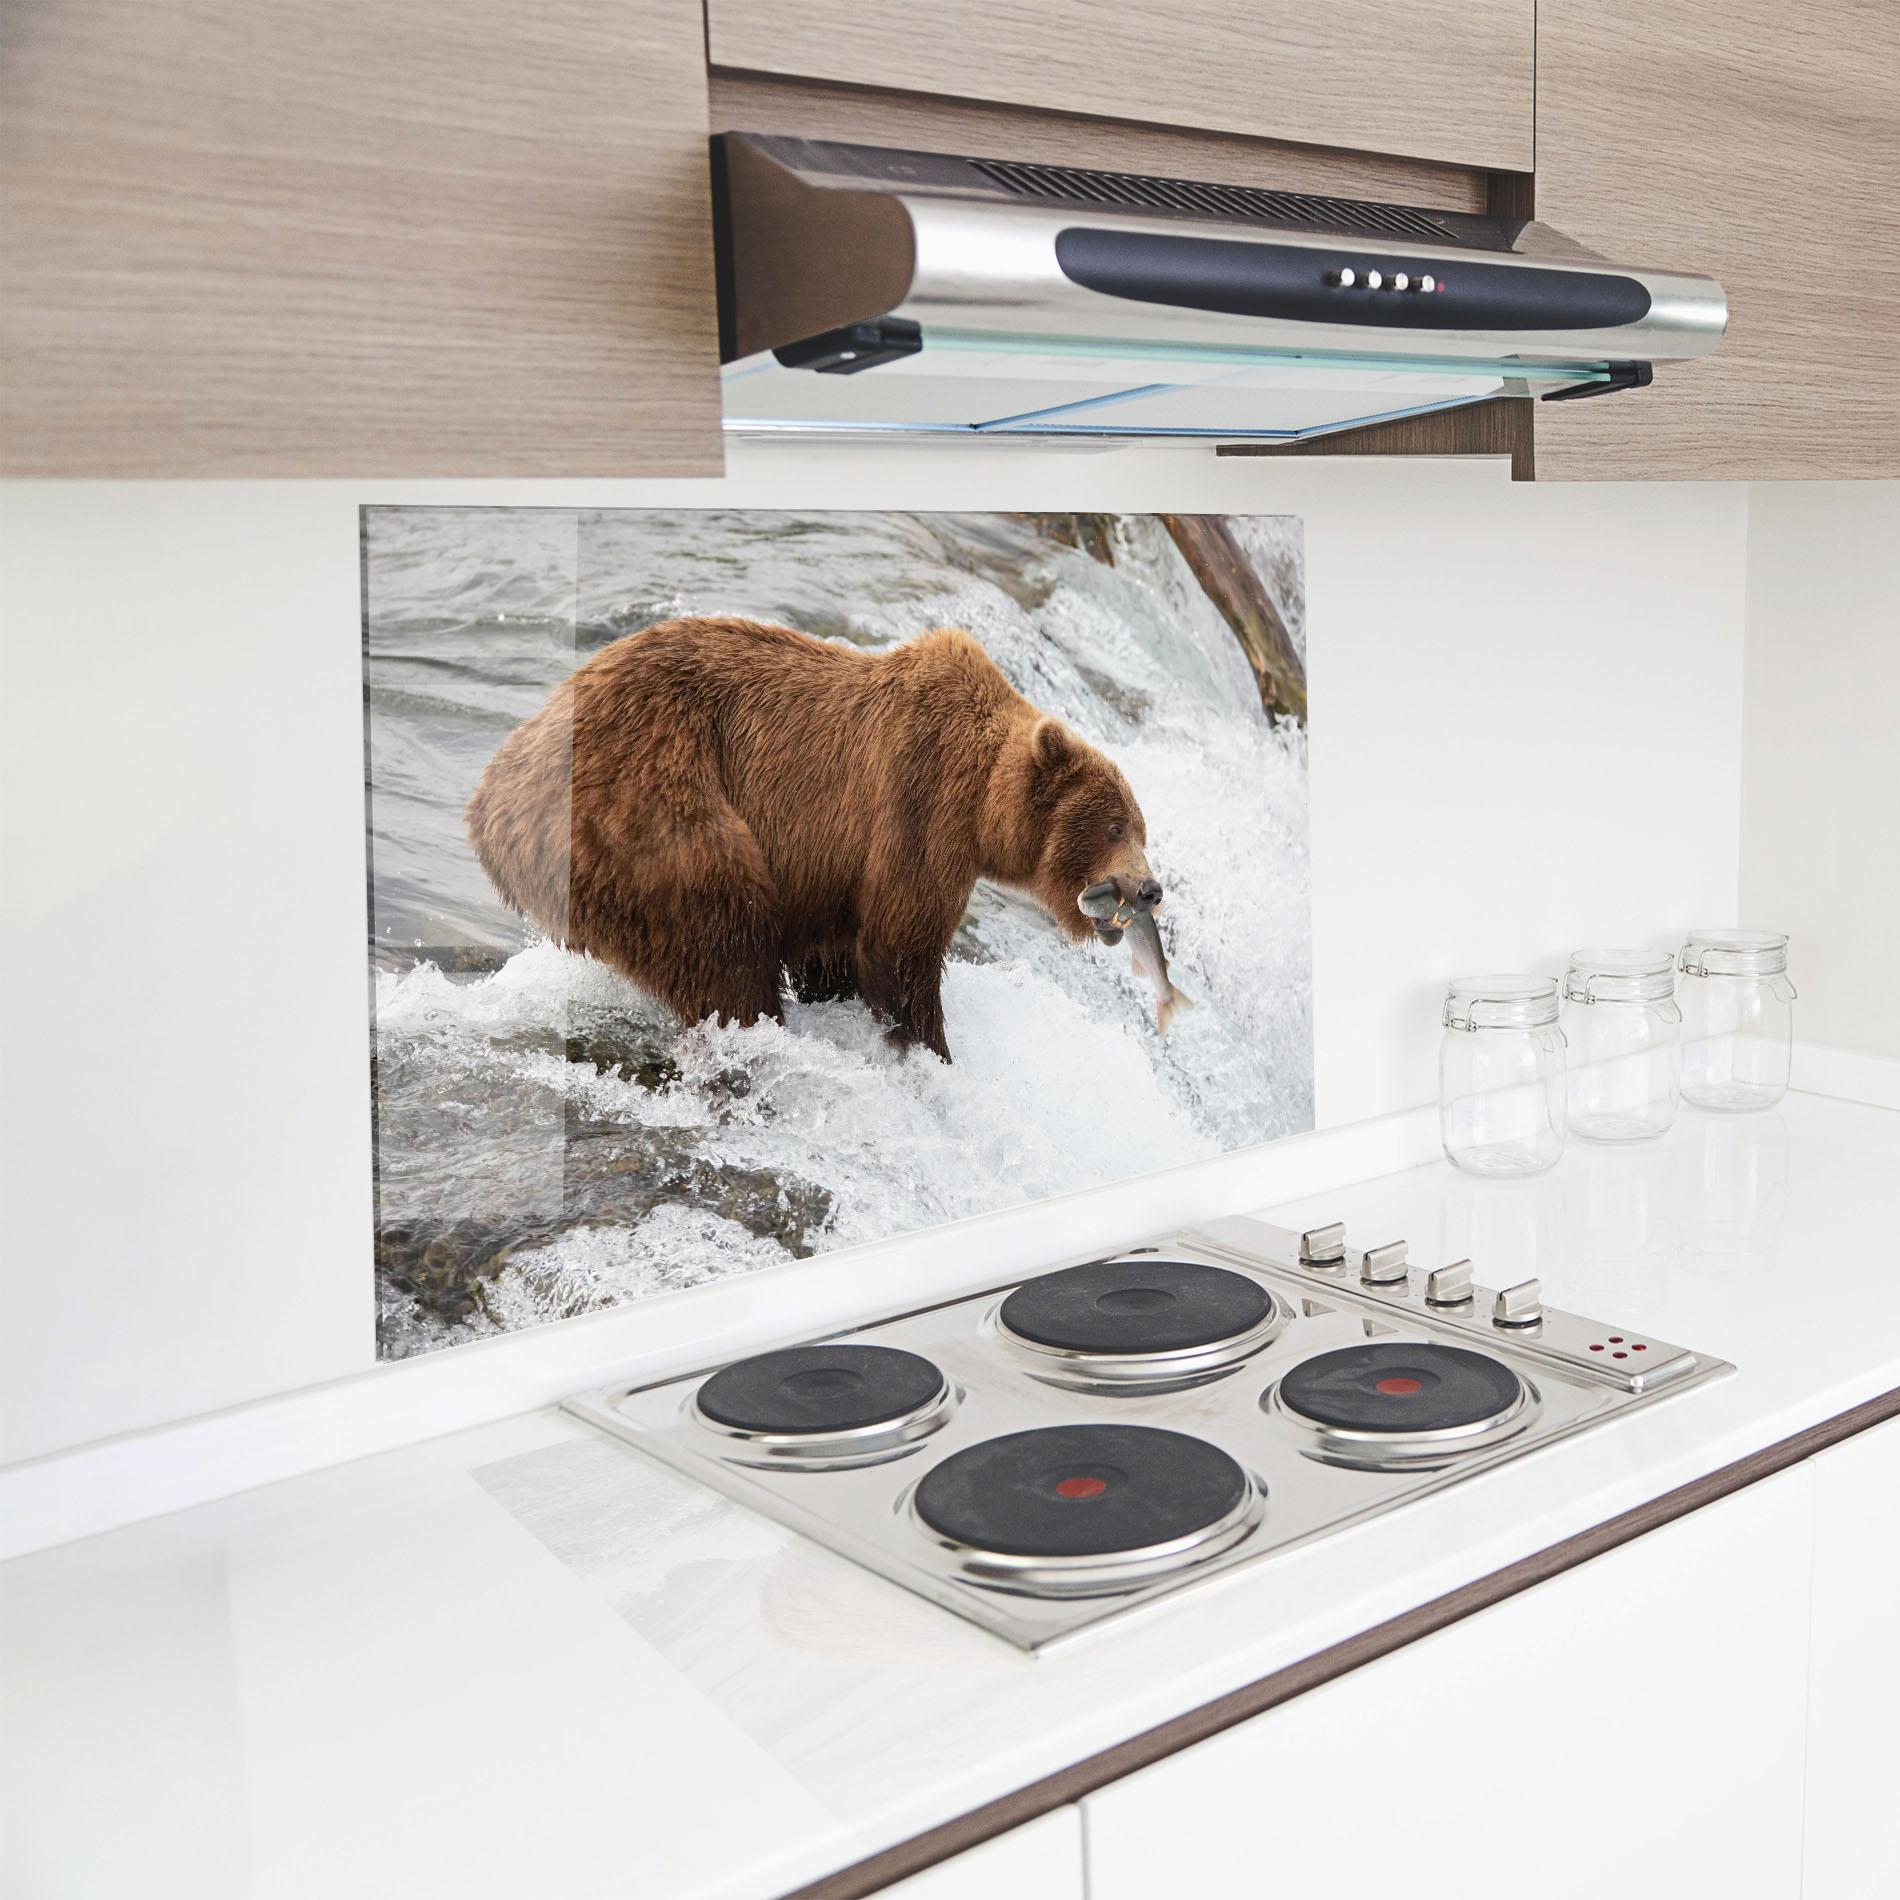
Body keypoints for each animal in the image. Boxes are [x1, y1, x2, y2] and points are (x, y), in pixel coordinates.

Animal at [466, 615, 1163, 1062]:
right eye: (1114, 825)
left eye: (1141, 826)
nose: (1150, 888)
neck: (981, 801)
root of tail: (492, 791)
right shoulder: (917, 803)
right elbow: (900, 944)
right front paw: (931, 1046)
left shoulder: (832, 868)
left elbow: (837, 951)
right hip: (649, 801)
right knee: (721, 927)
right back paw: (755, 1023)